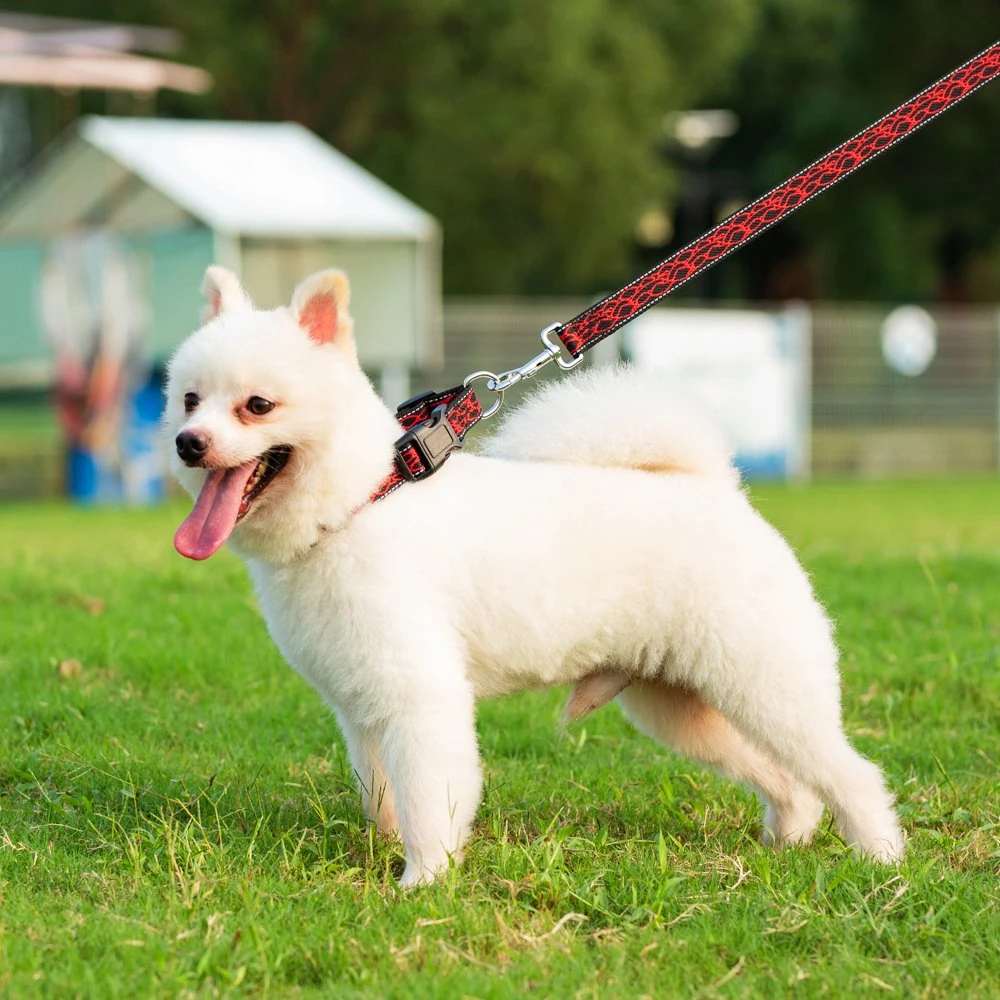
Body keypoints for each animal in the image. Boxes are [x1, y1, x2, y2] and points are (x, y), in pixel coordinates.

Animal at [166, 264, 908, 884]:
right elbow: (383, 794)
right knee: (789, 779)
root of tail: (715, 487)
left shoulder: (421, 696)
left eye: (258, 405)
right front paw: (388, 849)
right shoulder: (364, 706)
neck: (358, 502)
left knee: (850, 771)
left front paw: (422, 883)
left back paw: (882, 858)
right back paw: (789, 838)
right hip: (680, 706)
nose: (187, 443)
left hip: (767, 683)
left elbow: (430, 800)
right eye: (189, 399)